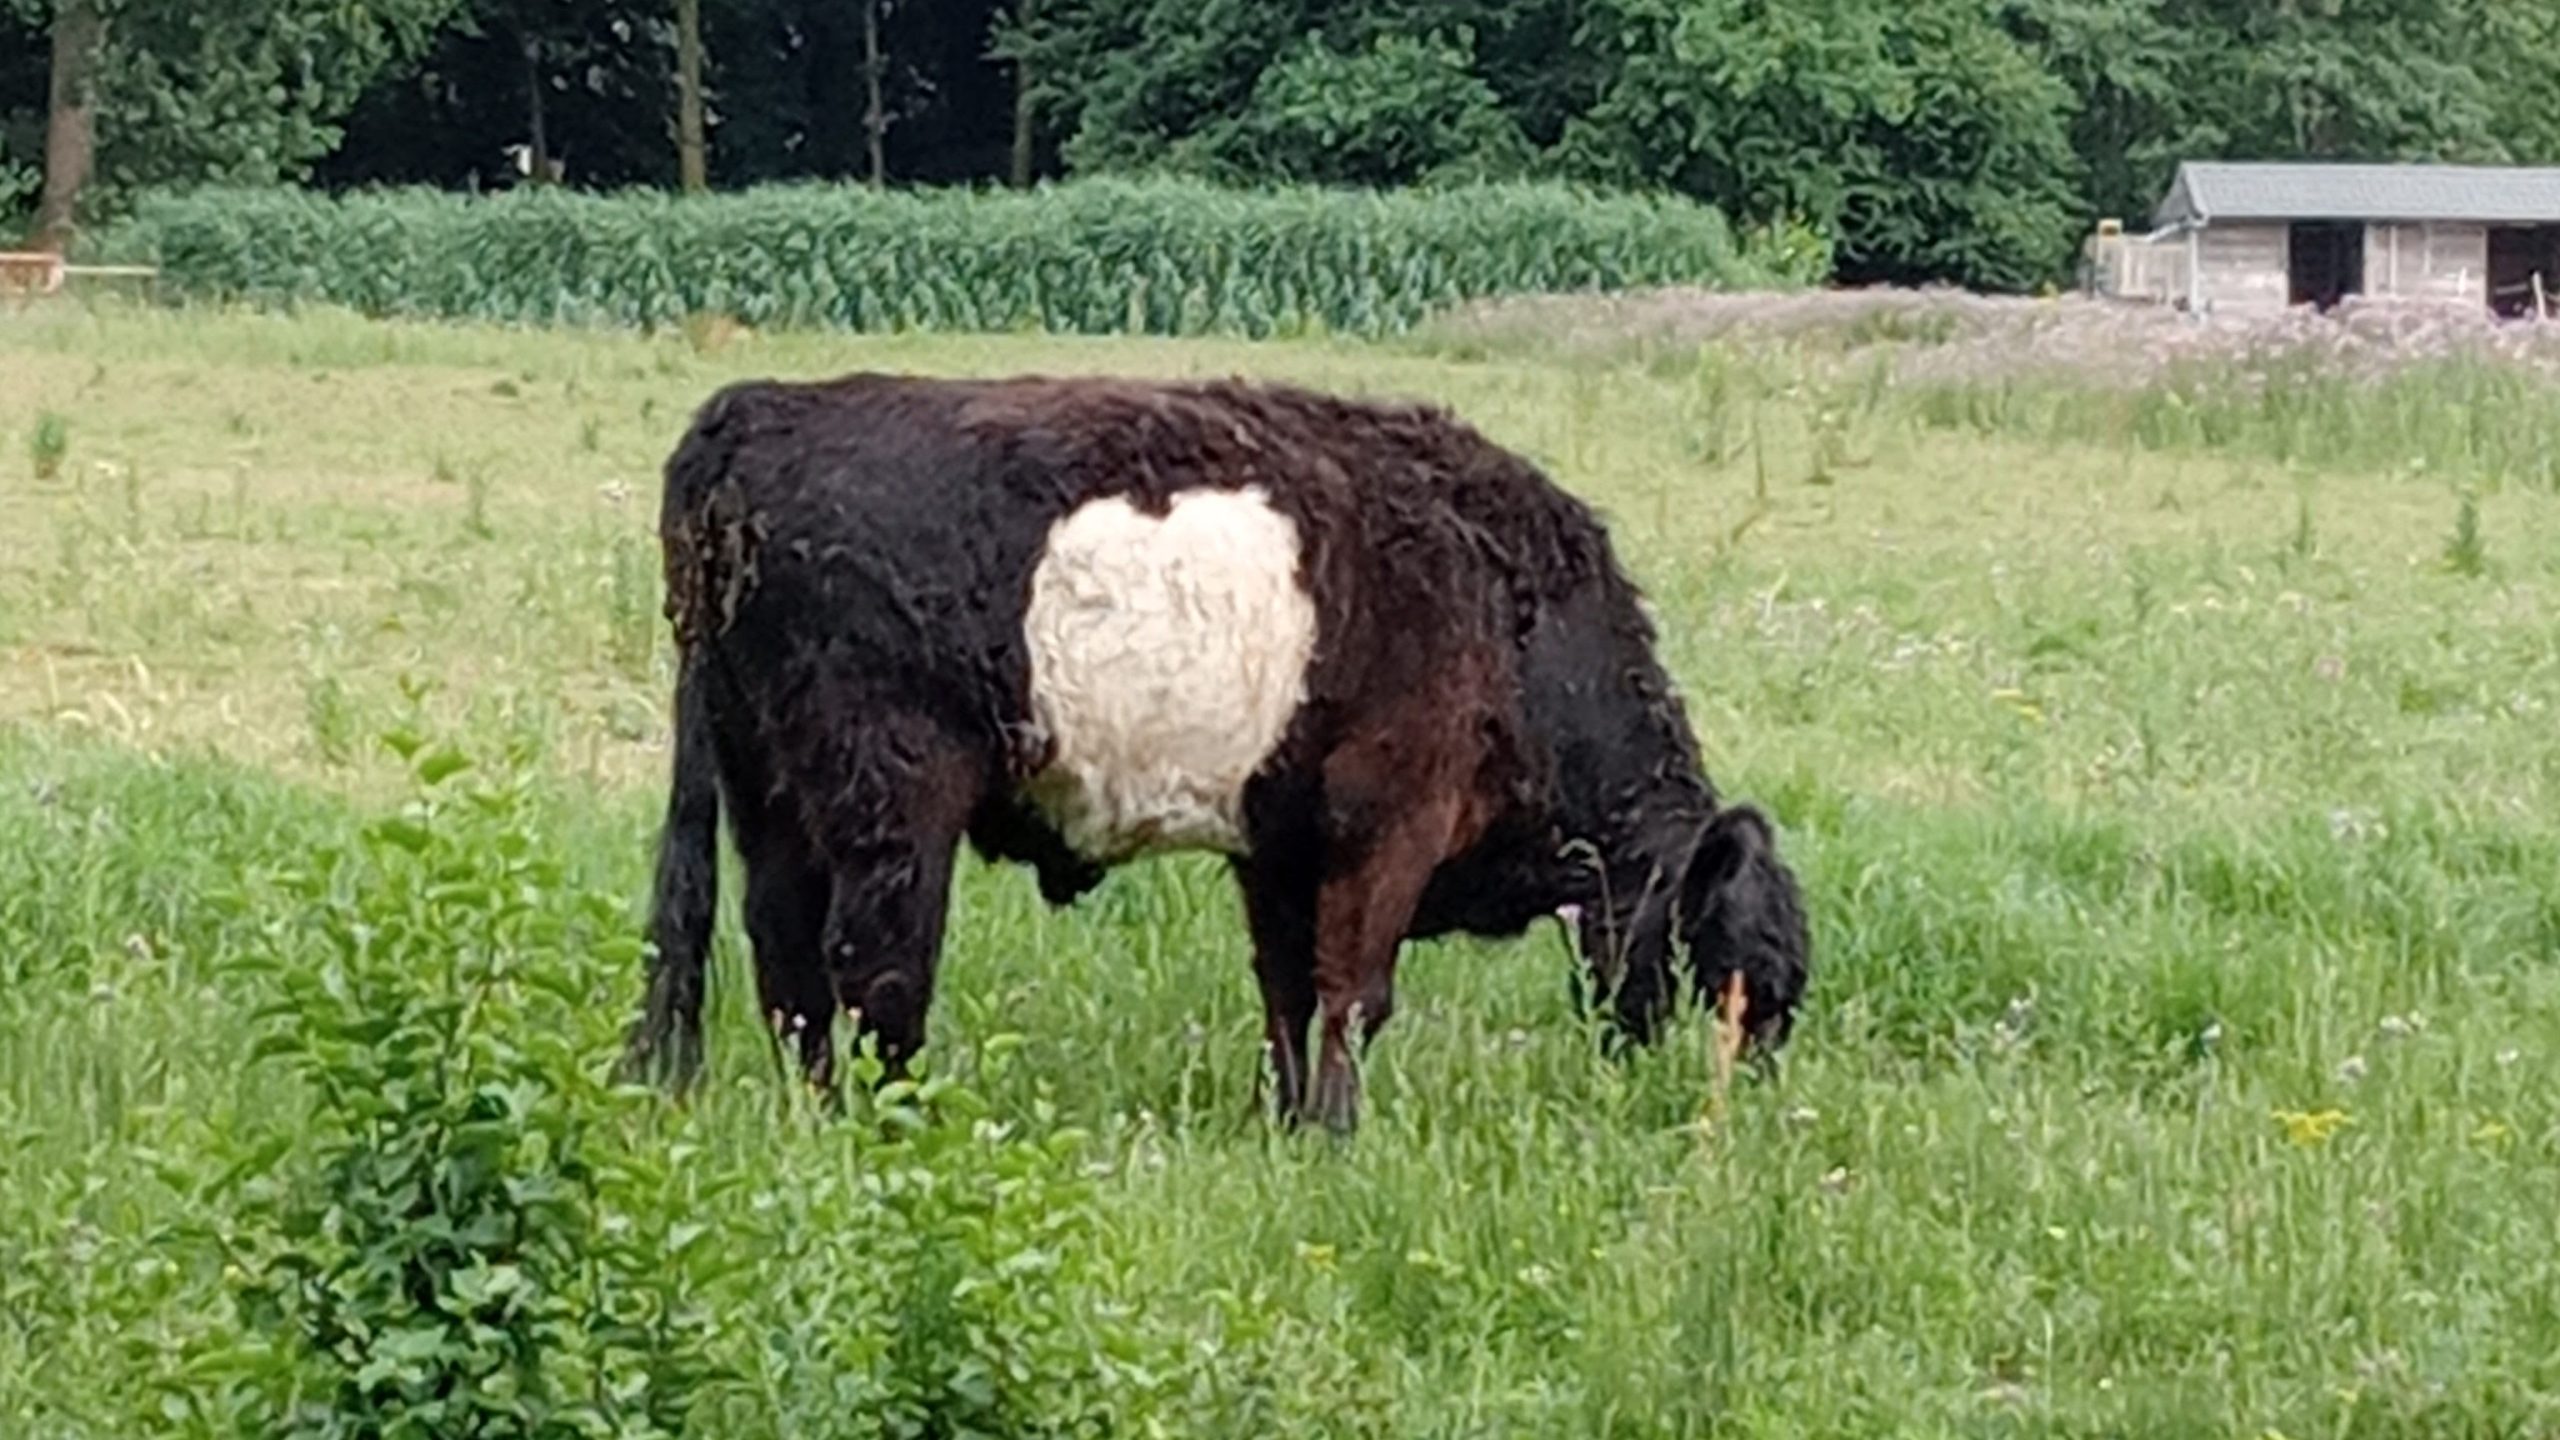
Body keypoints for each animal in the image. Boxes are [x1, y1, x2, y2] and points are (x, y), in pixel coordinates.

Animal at [624, 371, 1802, 1132]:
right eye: (1735, 977)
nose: (1728, 1111)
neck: (1515, 612)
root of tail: (757, 408)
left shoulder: (1278, 840)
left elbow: (1287, 988)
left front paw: (1282, 1126)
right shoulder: (1392, 817)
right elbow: (1353, 992)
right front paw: (1337, 1137)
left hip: (771, 793)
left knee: (786, 964)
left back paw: (815, 1120)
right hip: (889, 795)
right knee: (875, 972)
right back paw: (891, 1130)